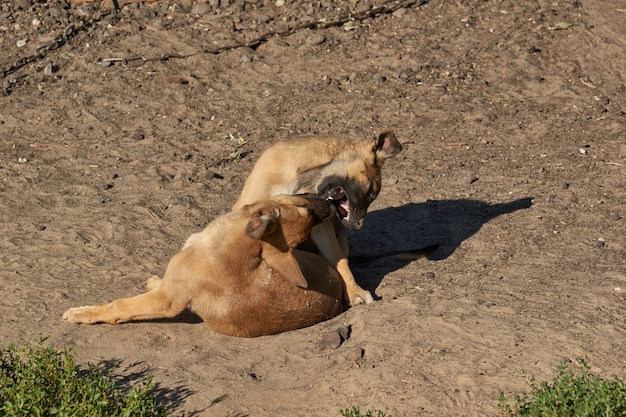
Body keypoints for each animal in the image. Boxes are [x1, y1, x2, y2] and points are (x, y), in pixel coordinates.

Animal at [233, 131, 400, 306]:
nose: (358, 225)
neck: (304, 179)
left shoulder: (321, 227)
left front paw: (354, 291)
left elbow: (338, 258)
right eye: (370, 194)